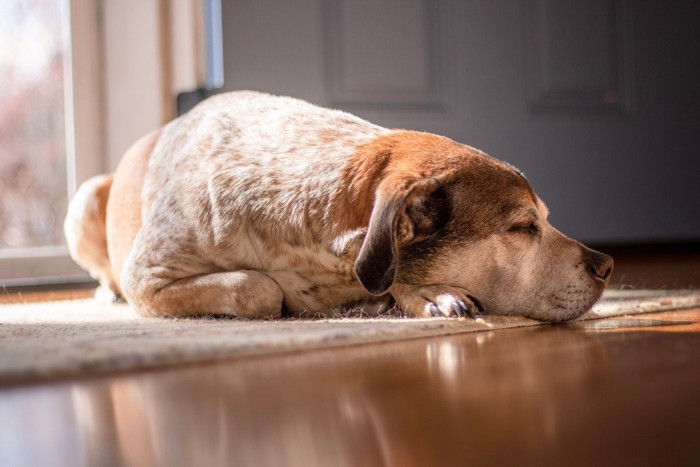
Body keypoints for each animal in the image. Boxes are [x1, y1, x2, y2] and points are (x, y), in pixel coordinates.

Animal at [65, 93, 612, 324]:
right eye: (522, 227)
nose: (607, 264)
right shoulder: (148, 277)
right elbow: (257, 287)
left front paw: (415, 294)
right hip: (84, 200)